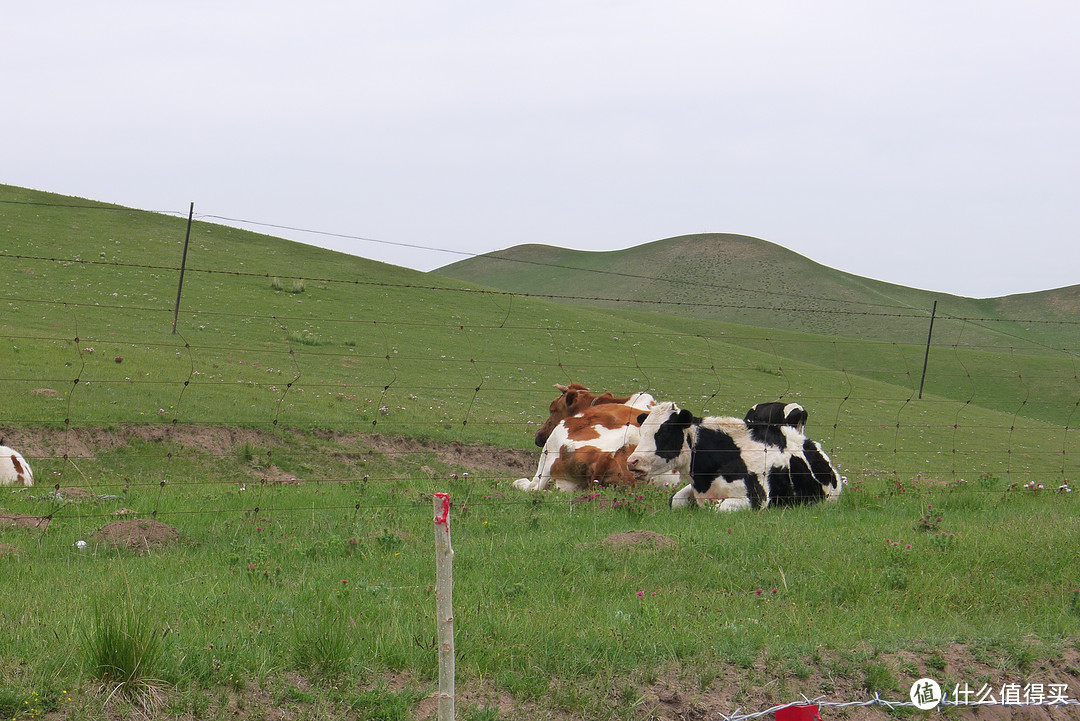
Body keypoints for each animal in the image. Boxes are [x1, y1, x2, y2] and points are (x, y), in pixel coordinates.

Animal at [626, 399, 842, 511]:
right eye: (642, 431)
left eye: (663, 433)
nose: (632, 461)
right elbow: (675, 500)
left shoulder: (756, 498)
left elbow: (718, 509)